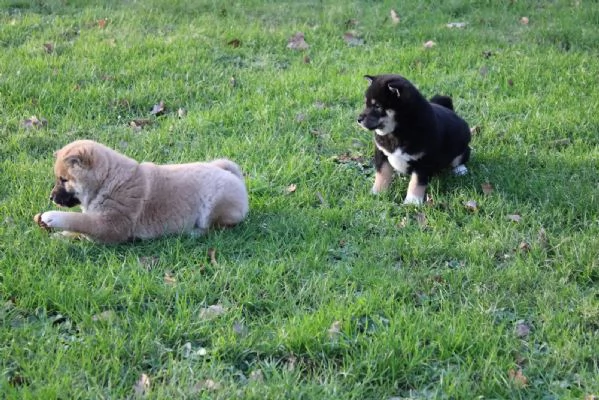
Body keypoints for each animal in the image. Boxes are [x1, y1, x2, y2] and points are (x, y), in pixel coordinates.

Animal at [34, 139, 250, 242]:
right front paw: (62, 236)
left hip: (214, 206)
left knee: (217, 227)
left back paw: (194, 232)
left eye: (63, 180)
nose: (51, 197)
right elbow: (79, 226)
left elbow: (80, 221)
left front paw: (53, 217)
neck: (107, 181)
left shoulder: (112, 225)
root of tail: (234, 176)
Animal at [358, 74, 472, 205]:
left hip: (462, 144)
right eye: (366, 104)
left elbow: (416, 182)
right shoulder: (381, 153)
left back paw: (460, 170)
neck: (397, 132)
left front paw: (412, 201)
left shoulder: (424, 160)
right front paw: (378, 192)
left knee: (461, 157)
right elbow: (382, 174)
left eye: (377, 106)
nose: (358, 119)